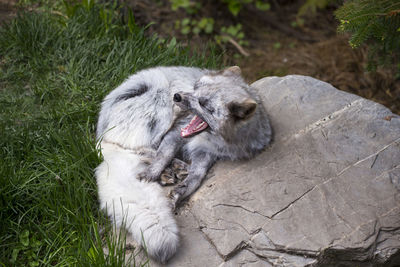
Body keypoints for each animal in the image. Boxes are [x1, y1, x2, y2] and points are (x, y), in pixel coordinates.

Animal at [95, 65, 272, 264]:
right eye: (195, 88)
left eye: (203, 104)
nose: (177, 96)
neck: (217, 139)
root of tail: (101, 134)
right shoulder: (177, 131)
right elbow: (163, 154)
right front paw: (152, 174)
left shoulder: (206, 153)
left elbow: (197, 177)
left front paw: (180, 190)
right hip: (160, 107)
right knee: (141, 148)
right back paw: (170, 168)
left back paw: (177, 169)